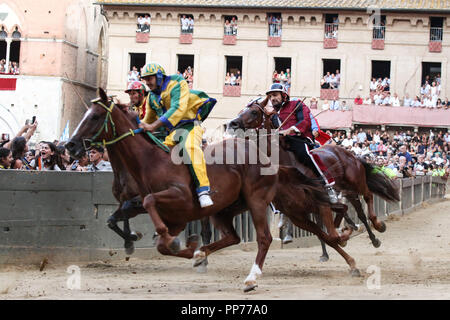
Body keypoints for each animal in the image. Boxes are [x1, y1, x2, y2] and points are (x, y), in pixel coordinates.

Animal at [65, 88, 330, 292]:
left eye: (95, 116)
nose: (70, 145)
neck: (150, 160)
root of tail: (263, 154)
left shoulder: (178, 198)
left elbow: (149, 202)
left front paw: (166, 241)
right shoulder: (175, 218)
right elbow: (151, 237)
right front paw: (189, 249)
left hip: (256, 199)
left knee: (265, 237)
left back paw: (252, 278)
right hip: (226, 207)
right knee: (233, 236)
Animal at [229, 101, 400, 256]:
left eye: (254, 112)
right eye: (241, 110)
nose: (232, 123)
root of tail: (349, 154)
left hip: (356, 181)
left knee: (368, 197)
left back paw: (377, 226)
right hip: (346, 189)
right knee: (358, 210)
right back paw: (367, 236)